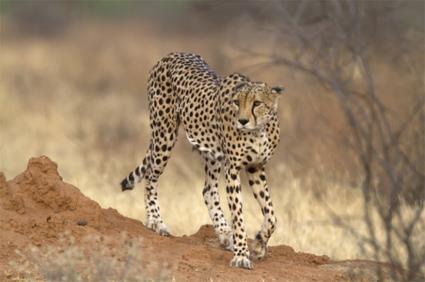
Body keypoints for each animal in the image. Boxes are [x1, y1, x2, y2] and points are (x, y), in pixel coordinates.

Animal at [121, 51, 284, 270]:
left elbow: (271, 215)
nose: (242, 121)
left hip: (211, 152)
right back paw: (155, 221)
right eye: (236, 102)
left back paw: (224, 233)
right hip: (165, 134)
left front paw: (258, 244)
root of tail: (172, 54)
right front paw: (242, 254)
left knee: (208, 190)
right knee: (150, 177)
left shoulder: (256, 167)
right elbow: (238, 215)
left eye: (257, 103)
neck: (259, 131)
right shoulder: (233, 168)